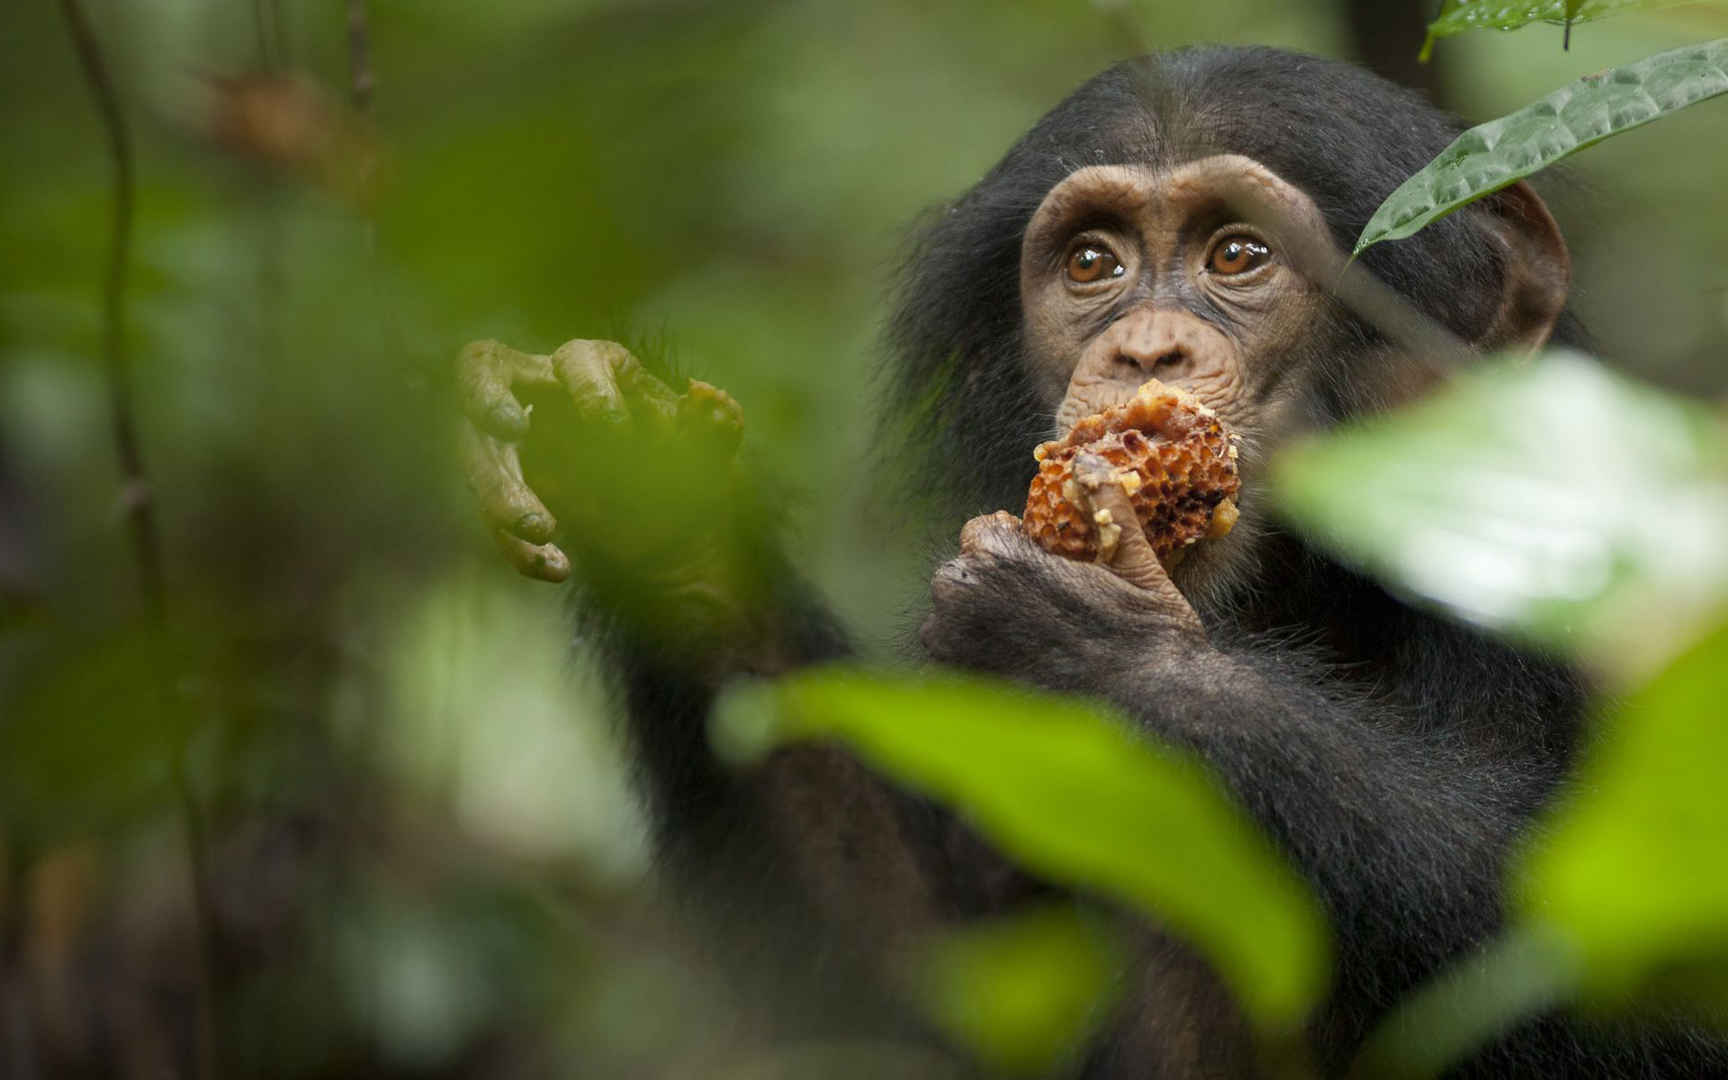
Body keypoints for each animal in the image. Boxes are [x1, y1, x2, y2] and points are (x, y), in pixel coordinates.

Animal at [456, 46, 1714, 1071]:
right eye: (1094, 264)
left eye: (1238, 253)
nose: (1144, 348)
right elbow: (936, 983)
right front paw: (644, 484)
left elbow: (1631, 942)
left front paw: (1098, 645)